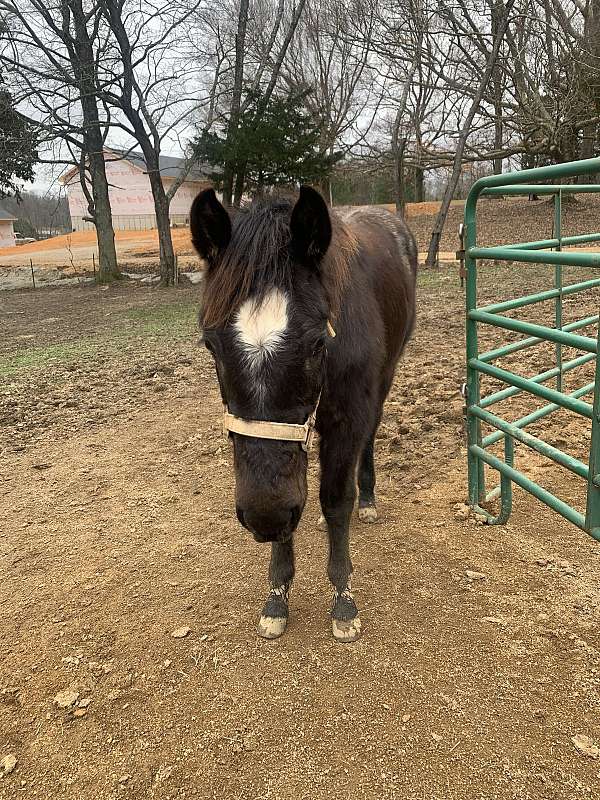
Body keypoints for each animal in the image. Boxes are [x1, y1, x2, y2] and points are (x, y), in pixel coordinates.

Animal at [190, 188, 414, 644]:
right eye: (210, 345)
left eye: (316, 344)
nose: (264, 517)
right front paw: (277, 594)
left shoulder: (347, 419)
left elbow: (335, 500)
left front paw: (344, 599)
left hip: (384, 381)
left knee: (371, 437)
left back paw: (368, 499)